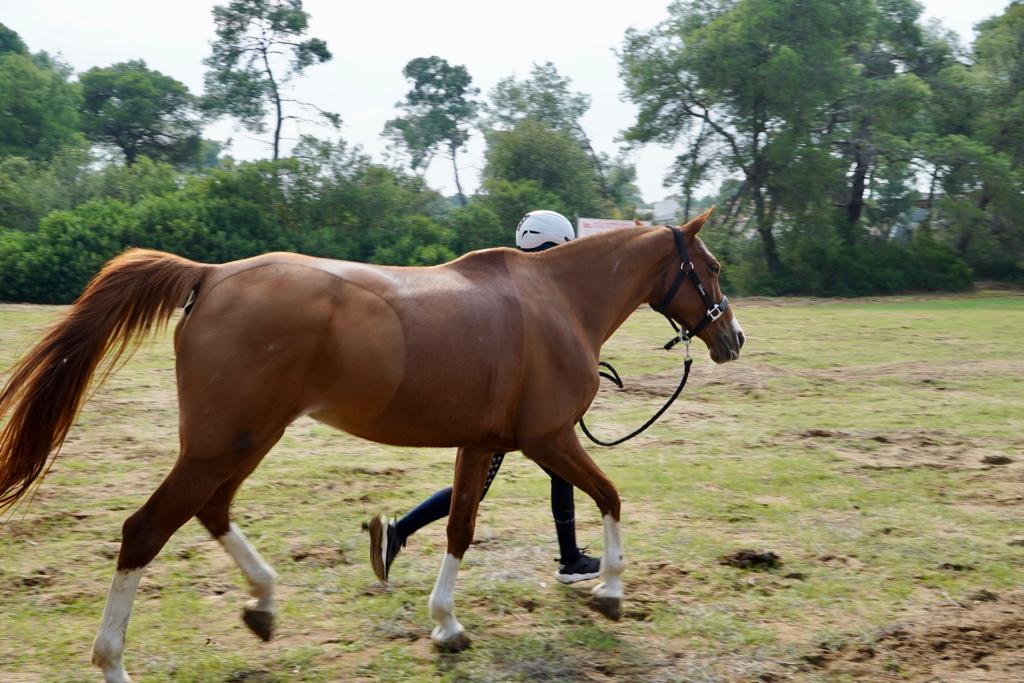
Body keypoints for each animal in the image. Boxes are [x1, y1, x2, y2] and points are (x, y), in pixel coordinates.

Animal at [0, 207, 742, 682]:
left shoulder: (482, 444)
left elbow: (460, 526)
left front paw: (446, 624)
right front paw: (610, 588)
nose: (732, 338)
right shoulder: (548, 439)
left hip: (243, 439)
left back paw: (264, 601)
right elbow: (610, 495)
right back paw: (116, 660)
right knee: (145, 529)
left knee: (210, 511)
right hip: (224, 442)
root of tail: (210, 275)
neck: (557, 300)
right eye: (710, 266)